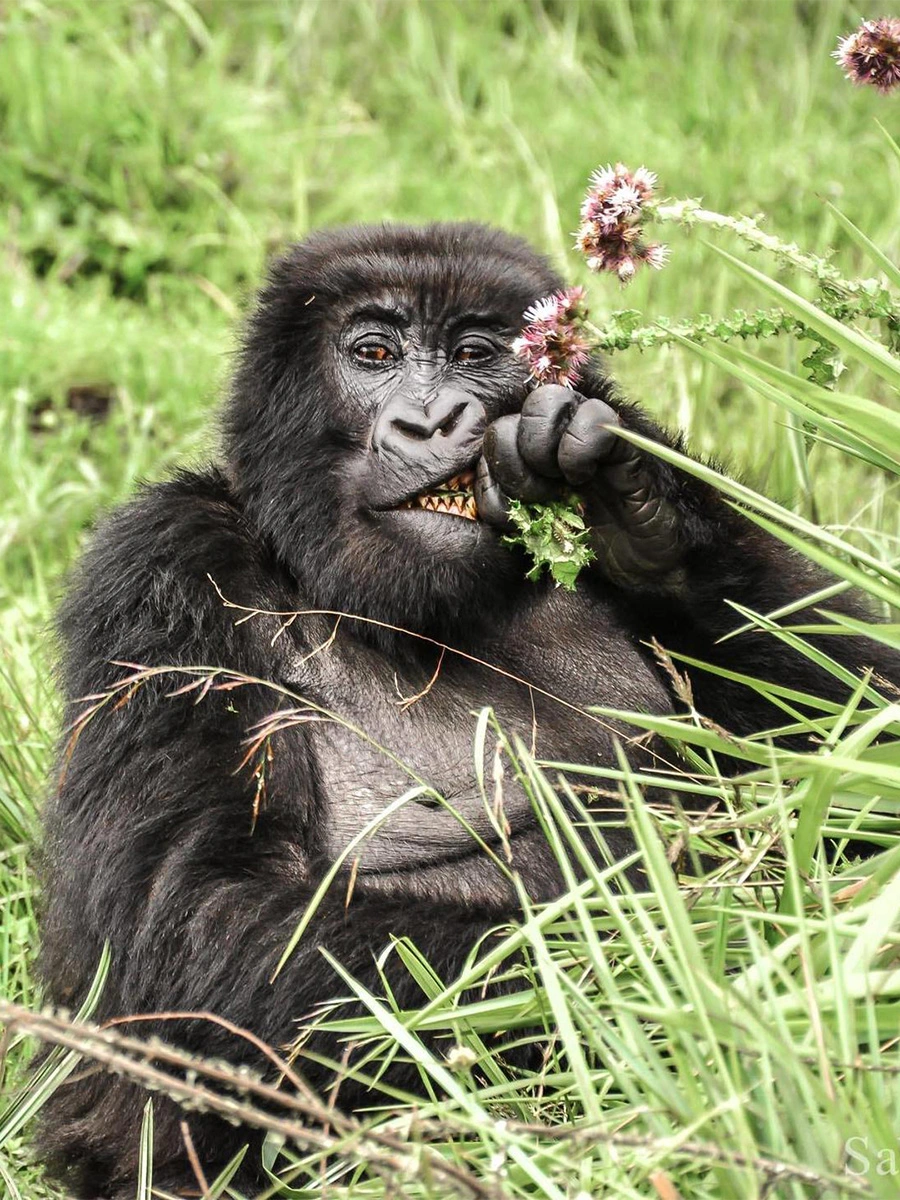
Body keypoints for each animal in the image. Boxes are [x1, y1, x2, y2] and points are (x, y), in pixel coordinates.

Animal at [38, 220, 897, 1195]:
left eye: (475, 355)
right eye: (373, 353)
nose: (432, 421)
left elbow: (856, 725)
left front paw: (642, 502)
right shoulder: (163, 570)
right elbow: (202, 925)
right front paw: (715, 953)